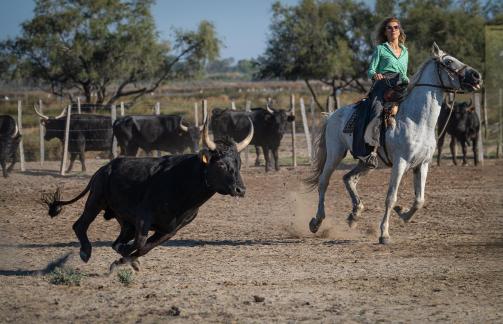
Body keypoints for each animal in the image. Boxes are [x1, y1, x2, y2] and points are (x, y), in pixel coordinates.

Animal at [41, 120, 254, 270]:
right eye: (221, 164)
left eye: (239, 163)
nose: (240, 190)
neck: (184, 184)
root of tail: (104, 169)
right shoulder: (143, 218)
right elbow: (139, 243)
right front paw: (123, 258)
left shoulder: (170, 230)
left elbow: (144, 248)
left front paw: (126, 260)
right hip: (96, 201)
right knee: (80, 225)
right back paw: (86, 252)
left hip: (124, 221)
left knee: (117, 239)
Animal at [308, 44, 484, 244]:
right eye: (448, 61)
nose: (476, 75)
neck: (416, 120)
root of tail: (332, 115)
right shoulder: (400, 163)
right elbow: (390, 198)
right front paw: (384, 234)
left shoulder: (422, 164)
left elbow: (419, 200)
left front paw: (402, 213)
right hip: (335, 154)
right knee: (324, 182)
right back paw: (316, 221)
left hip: (366, 163)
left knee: (348, 178)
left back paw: (355, 214)